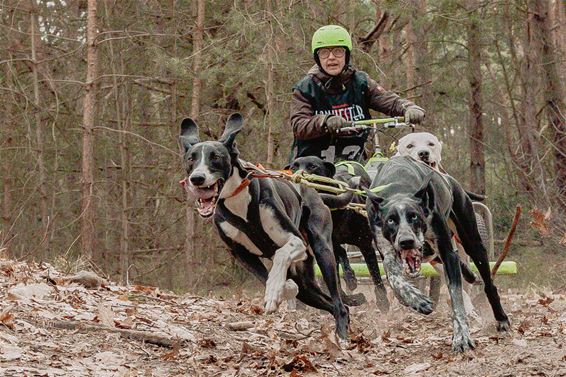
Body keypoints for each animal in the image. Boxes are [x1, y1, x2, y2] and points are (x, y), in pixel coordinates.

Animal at [181, 113, 350, 340]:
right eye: (191, 159)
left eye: (215, 156)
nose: (197, 178)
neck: (237, 200)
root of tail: (315, 192)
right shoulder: (241, 254)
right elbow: (267, 277)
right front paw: (282, 288)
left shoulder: (295, 241)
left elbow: (280, 255)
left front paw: (274, 289)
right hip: (307, 284)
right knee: (330, 303)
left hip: (323, 252)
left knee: (339, 302)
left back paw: (342, 338)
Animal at [366, 155, 512, 350]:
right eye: (390, 220)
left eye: (414, 216)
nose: (406, 241)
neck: (398, 188)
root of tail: (451, 181)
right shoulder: (387, 253)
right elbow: (396, 280)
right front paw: (417, 300)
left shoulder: (447, 251)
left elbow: (456, 298)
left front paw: (462, 337)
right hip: (433, 253)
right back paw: (469, 274)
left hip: (472, 243)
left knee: (489, 285)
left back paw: (501, 318)